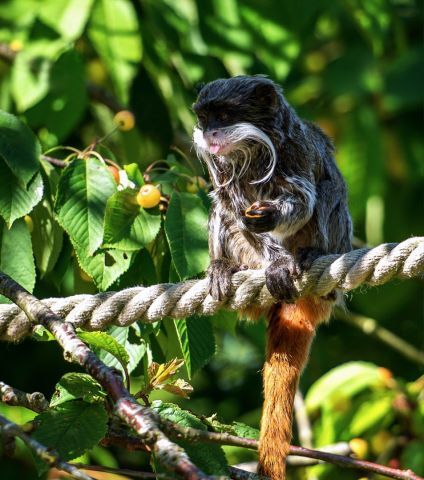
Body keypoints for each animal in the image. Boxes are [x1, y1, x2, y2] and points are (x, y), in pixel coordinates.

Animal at [192, 76, 352, 480]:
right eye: (204, 118)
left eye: (224, 116)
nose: (210, 133)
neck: (252, 150)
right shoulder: (222, 171)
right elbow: (232, 207)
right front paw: (273, 262)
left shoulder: (296, 151)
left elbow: (303, 199)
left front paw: (275, 220)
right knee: (220, 210)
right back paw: (226, 268)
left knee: (330, 188)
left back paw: (310, 255)